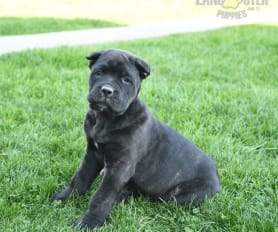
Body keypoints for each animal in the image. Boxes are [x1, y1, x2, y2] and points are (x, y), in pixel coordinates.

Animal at [52, 48, 220, 228]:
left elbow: (102, 196)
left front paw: (89, 222)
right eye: (99, 73)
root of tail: (216, 176)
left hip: (180, 196)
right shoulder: (92, 153)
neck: (106, 118)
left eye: (126, 80)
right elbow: (80, 178)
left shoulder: (120, 167)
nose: (106, 90)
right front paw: (64, 198)